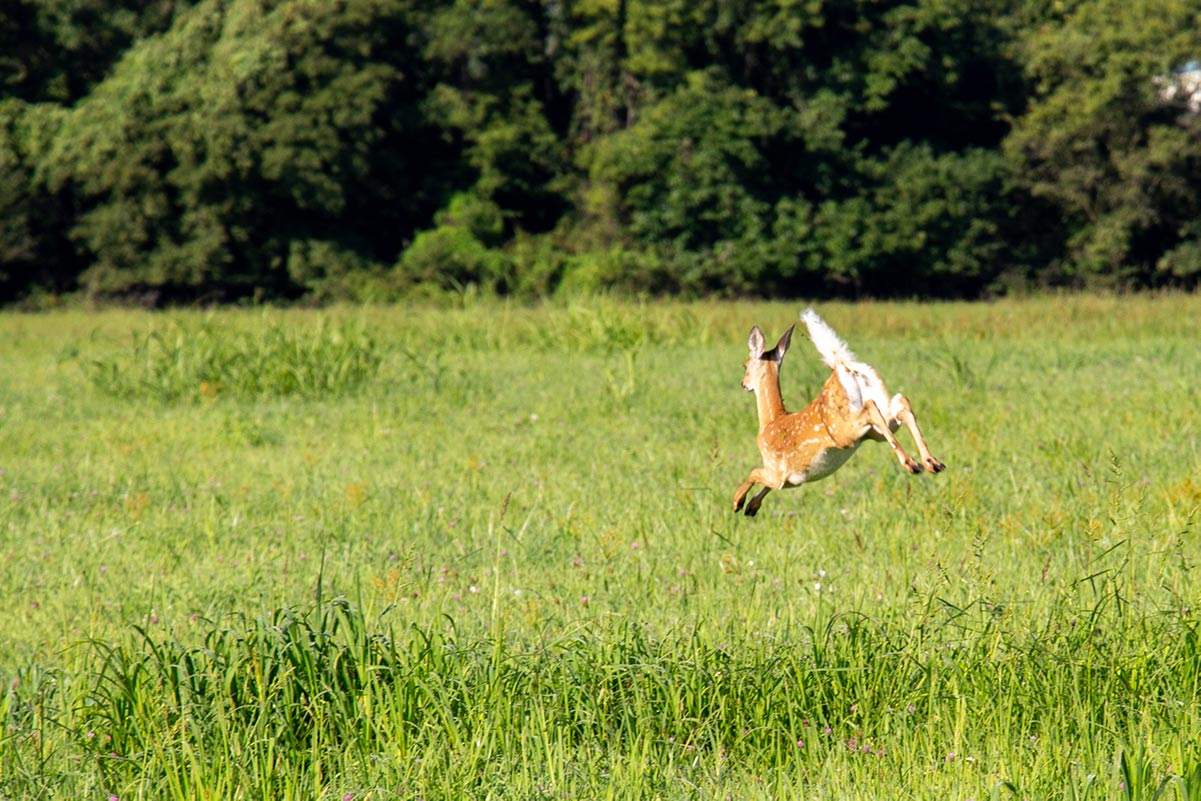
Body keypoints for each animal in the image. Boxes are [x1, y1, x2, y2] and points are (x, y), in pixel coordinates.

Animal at [732, 309, 945, 517]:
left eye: (745, 365)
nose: (743, 384)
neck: (770, 420)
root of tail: (842, 365)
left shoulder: (778, 471)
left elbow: (754, 472)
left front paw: (737, 502)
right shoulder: (789, 480)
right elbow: (764, 485)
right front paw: (751, 506)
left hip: (845, 432)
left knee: (871, 408)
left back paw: (911, 464)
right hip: (876, 424)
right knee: (902, 403)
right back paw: (931, 463)